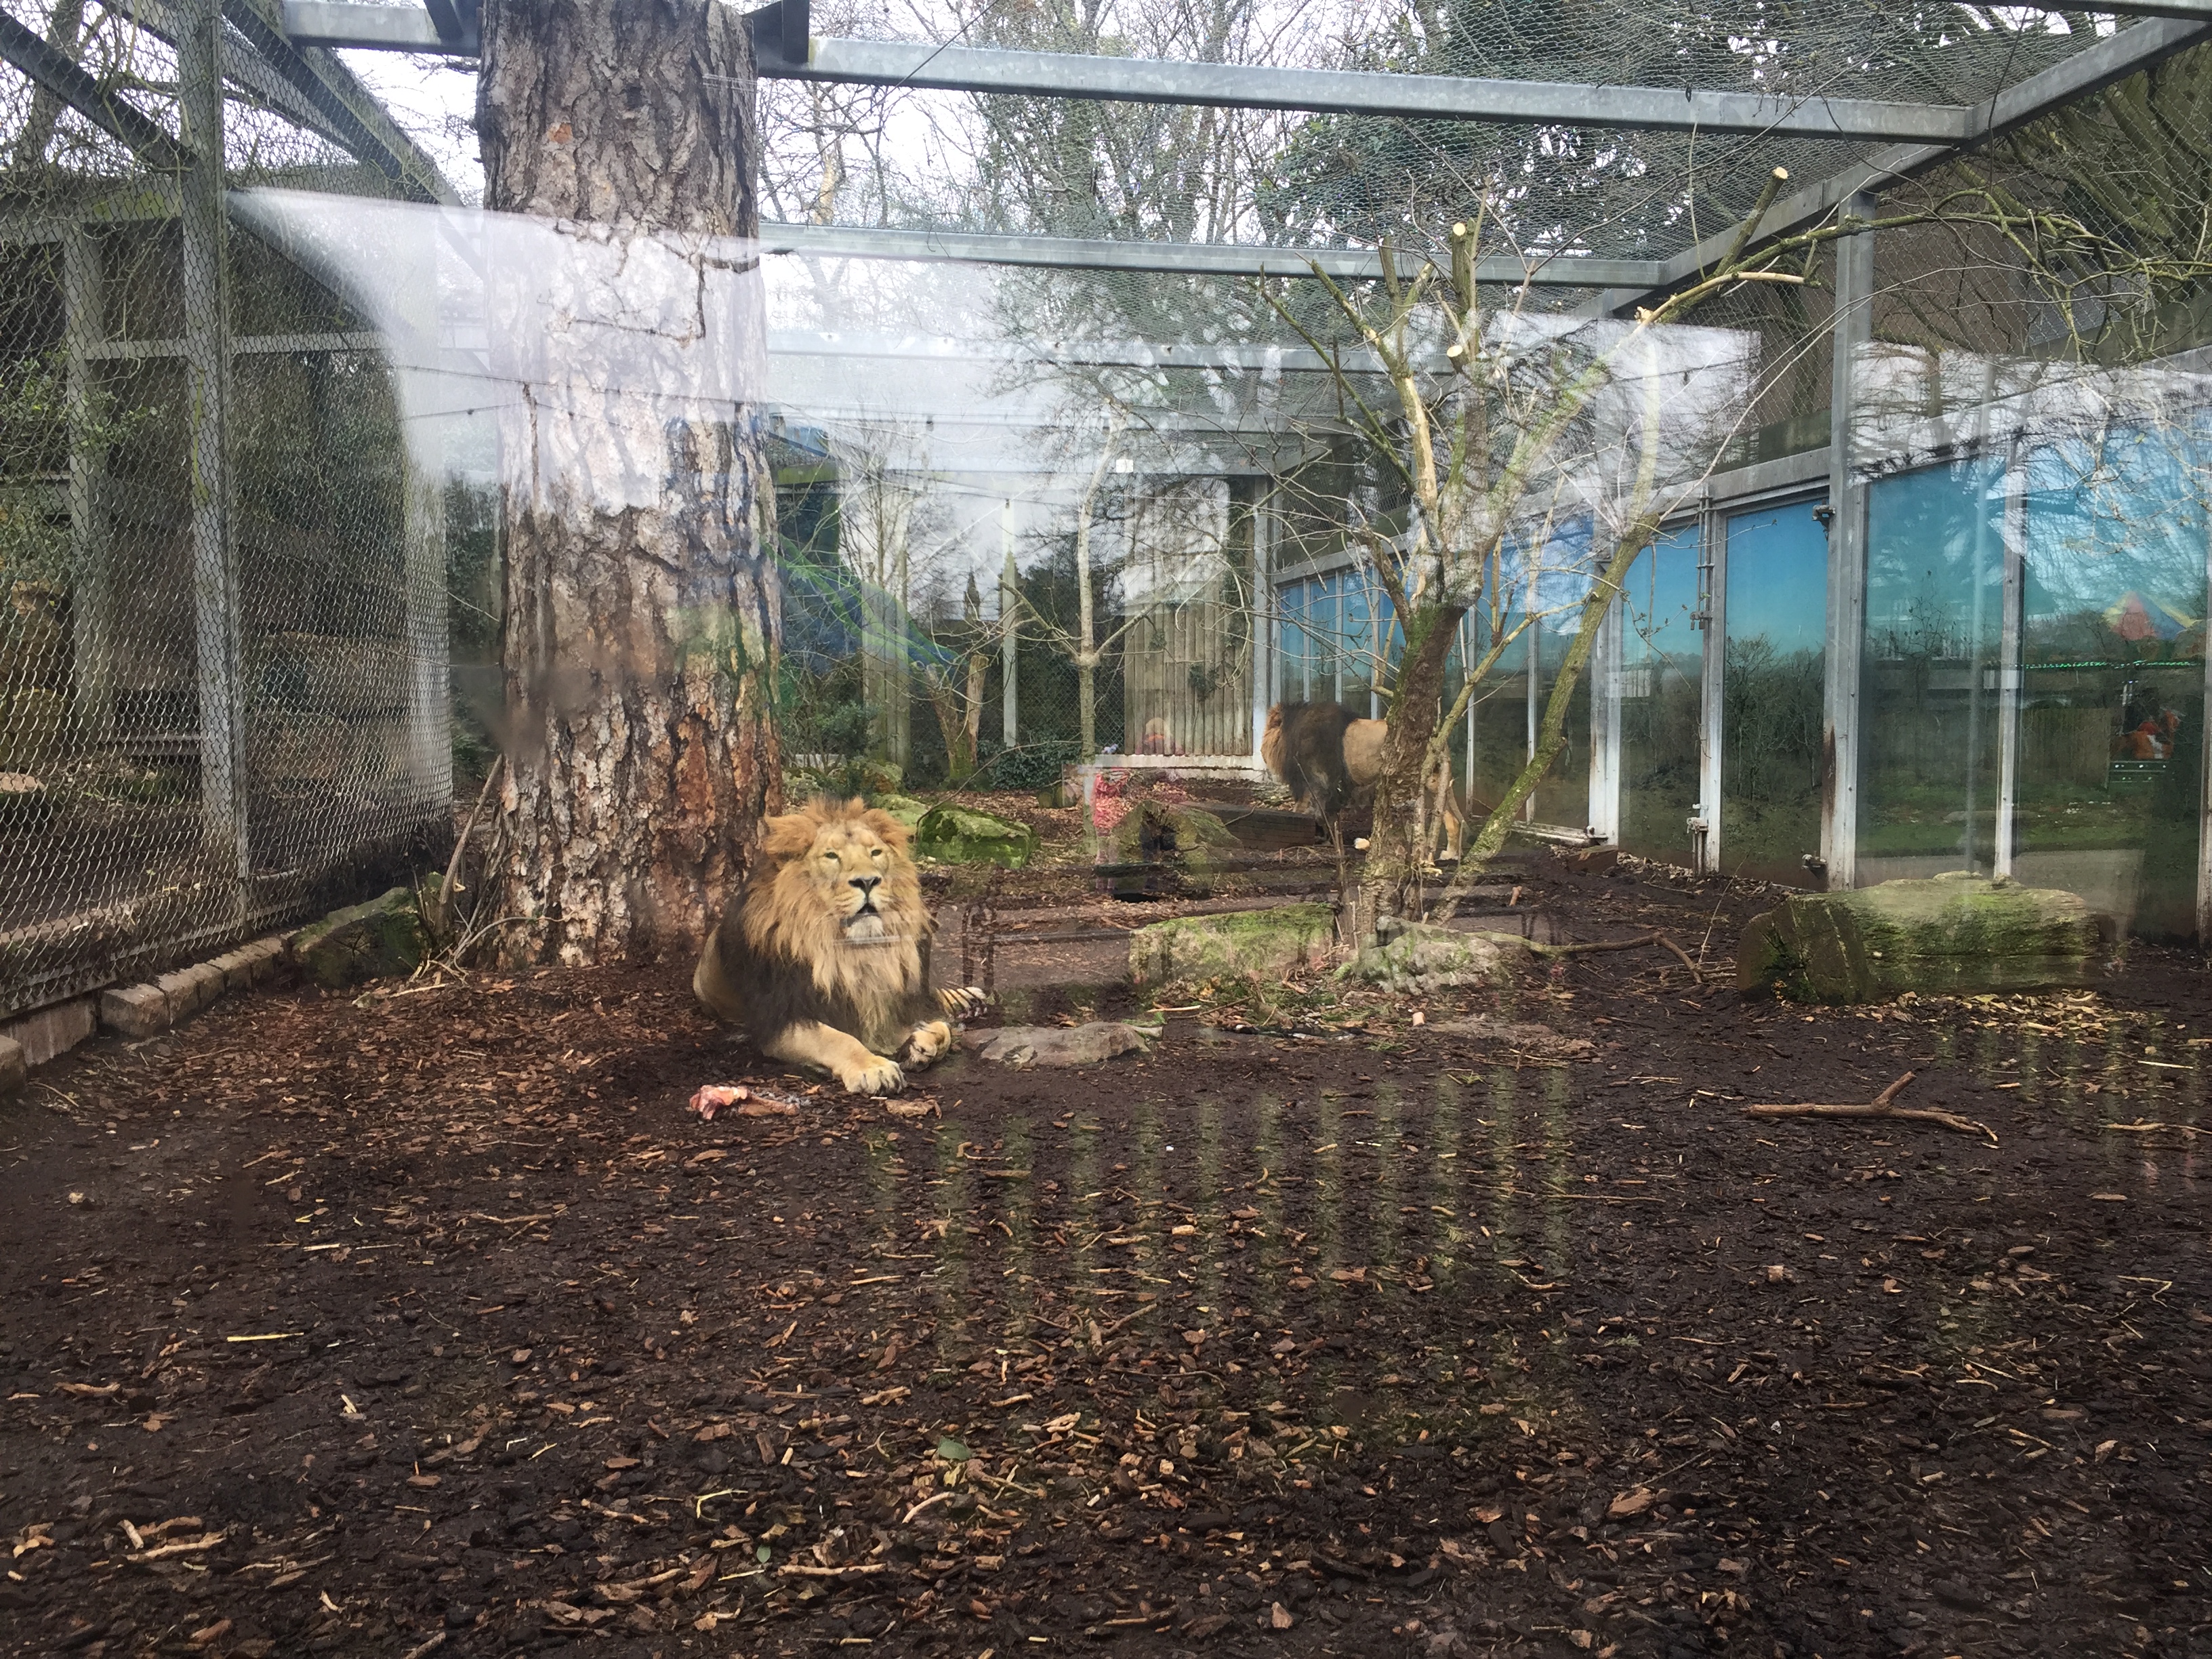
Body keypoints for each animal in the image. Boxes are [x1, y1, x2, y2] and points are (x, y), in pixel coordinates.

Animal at [694, 797, 984, 1096]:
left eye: (875, 853)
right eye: (831, 856)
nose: (867, 881)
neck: (850, 949)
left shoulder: (885, 1002)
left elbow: (941, 1030)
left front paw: (917, 1043)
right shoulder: (781, 1019)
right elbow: (838, 1039)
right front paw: (876, 1067)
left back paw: (967, 999)